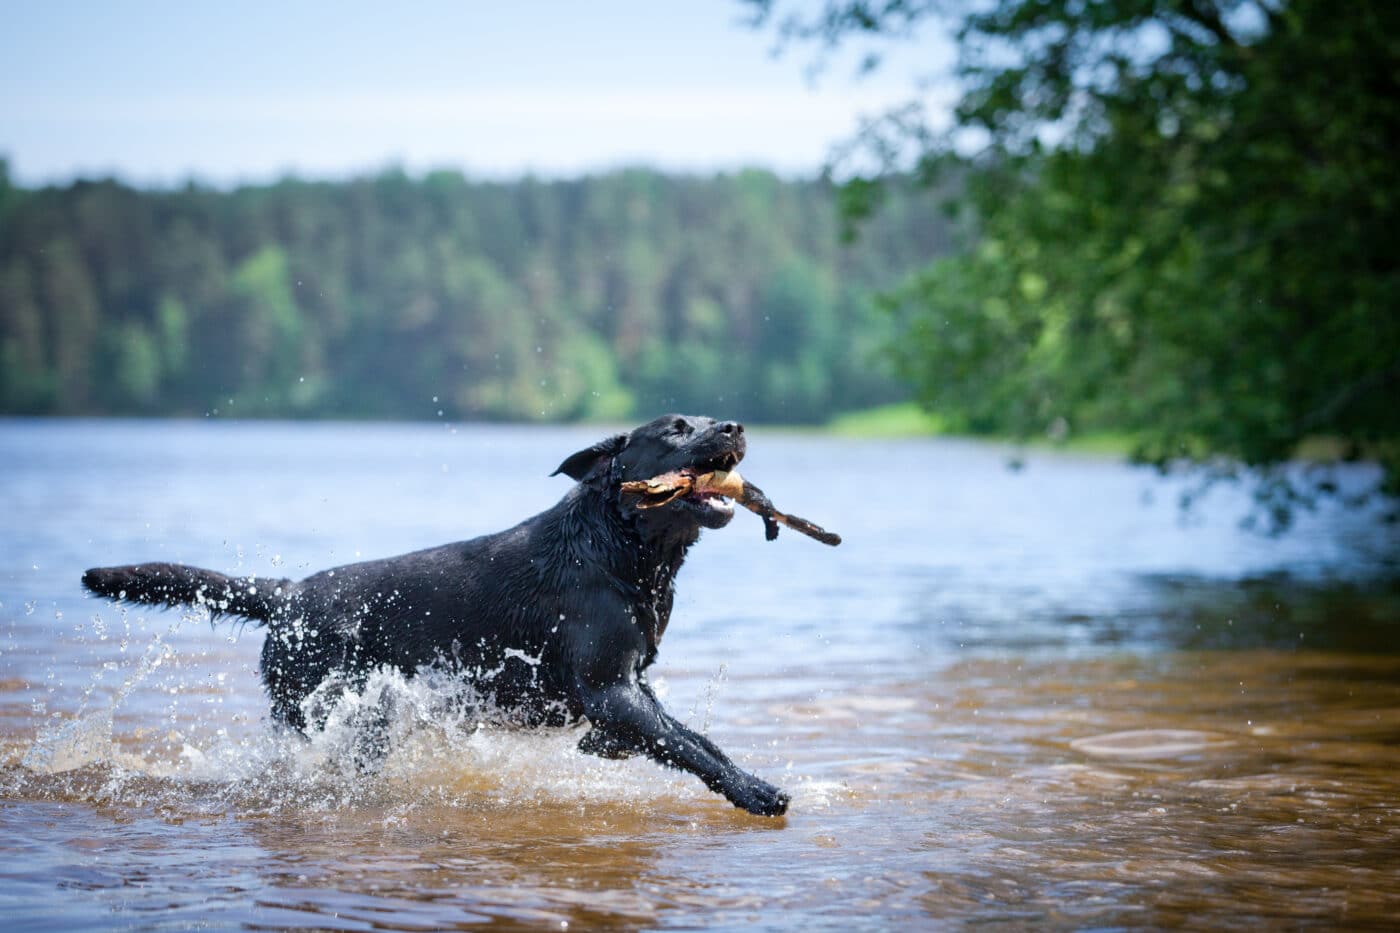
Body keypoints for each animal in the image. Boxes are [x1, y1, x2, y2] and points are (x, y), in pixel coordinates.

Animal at [81, 414, 795, 812]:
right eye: (675, 428)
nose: (734, 428)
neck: (616, 545)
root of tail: (288, 595)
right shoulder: (608, 690)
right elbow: (692, 747)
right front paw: (755, 792)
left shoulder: (629, 688)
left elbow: (691, 738)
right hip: (335, 709)